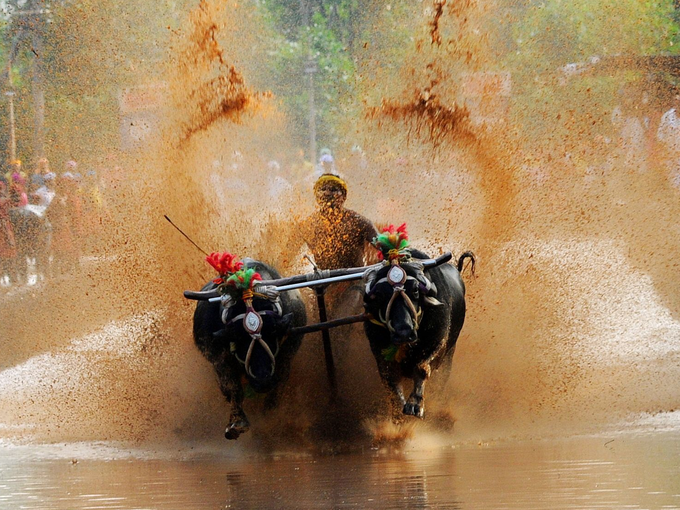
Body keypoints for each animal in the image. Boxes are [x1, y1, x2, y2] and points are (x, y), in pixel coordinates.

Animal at [193, 260, 306, 440]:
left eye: (273, 332)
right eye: (238, 338)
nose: (262, 381)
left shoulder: (289, 351)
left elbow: (280, 379)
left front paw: (270, 414)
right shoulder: (218, 358)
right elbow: (233, 388)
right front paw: (237, 423)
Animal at [362, 249, 472, 420]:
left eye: (415, 290)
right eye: (380, 295)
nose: (404, 332)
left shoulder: (437, 344)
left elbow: (421, 368)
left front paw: (415, 405)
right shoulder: (380, 355)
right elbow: (390, 381)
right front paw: (398, 414)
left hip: (449, 355)